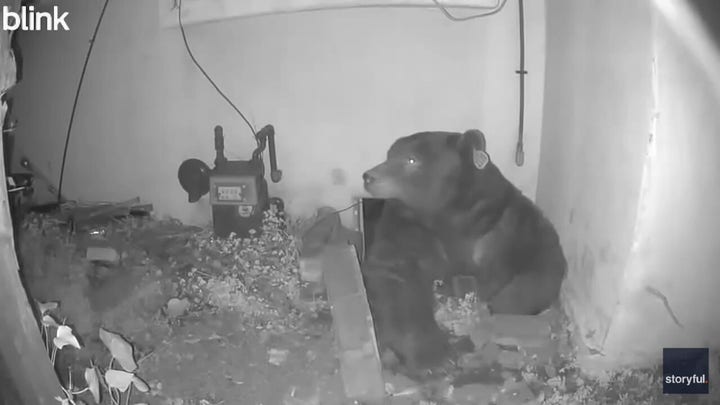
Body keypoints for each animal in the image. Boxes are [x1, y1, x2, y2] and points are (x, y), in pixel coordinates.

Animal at [362, 129, 567, 316]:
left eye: (411, 159)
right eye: (389, 154)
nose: (368, 176)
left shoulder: (509, 232)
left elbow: (528, 280)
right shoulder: (409, 227)